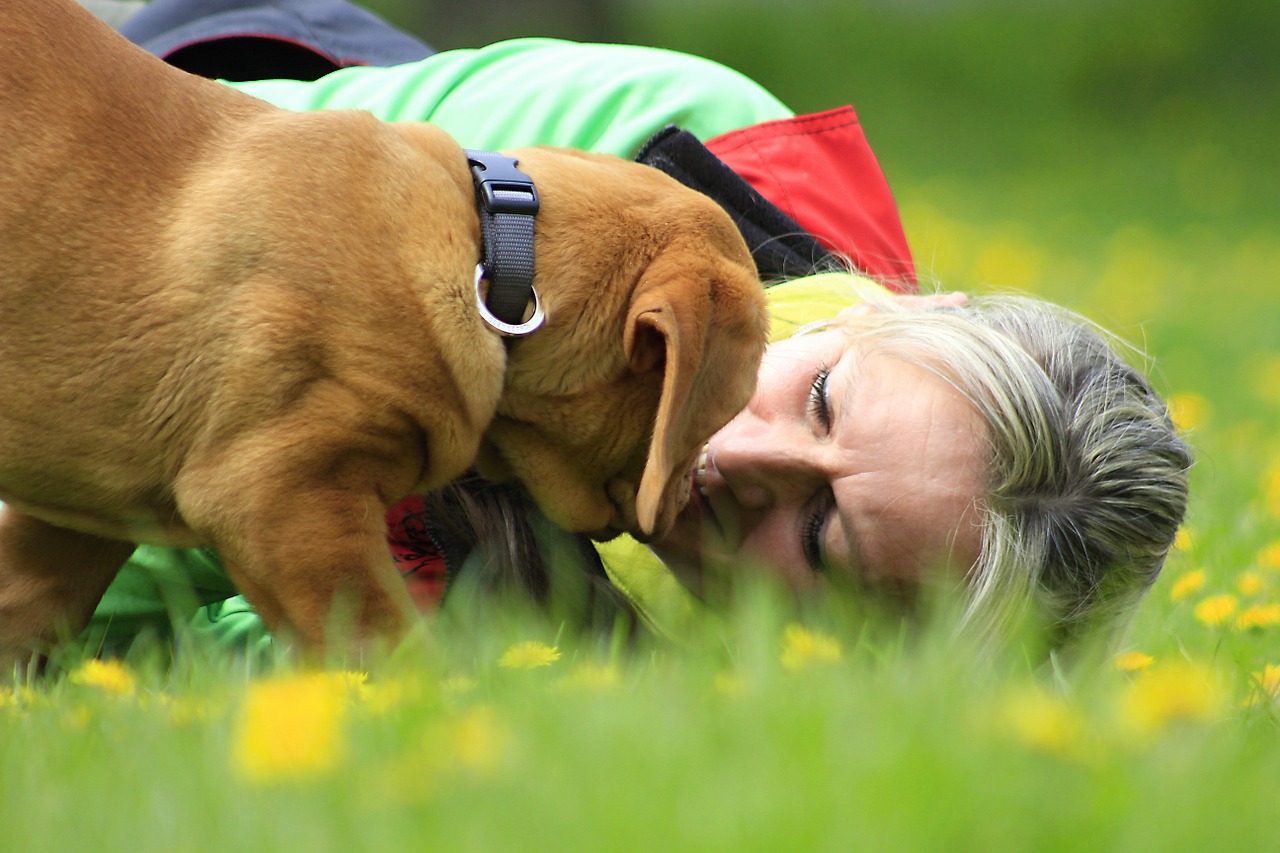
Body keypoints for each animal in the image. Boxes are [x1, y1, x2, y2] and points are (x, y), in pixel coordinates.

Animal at [0, 0, 768, 655]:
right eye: (710, 416)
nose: (693, 503)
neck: (491, 247)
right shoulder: (281, 495)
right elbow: (384, 642)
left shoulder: (81, 504)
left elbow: (25, 609)